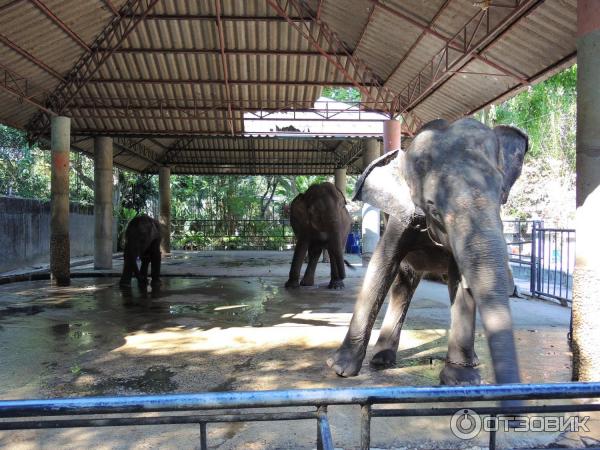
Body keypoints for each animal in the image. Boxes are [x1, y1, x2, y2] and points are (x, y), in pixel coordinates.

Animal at [326, 118, 528, 386]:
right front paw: (339, 369)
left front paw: (461, 381)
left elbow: (459, 281)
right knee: (403, 284)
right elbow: (381, 266)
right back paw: (381, 360)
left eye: (501, 197)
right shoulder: (400, 220)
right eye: (434, 210)